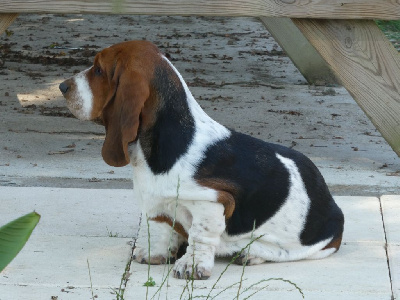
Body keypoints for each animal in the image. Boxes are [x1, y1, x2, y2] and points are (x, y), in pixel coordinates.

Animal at [58, 39, 344, 278]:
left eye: (98, 70)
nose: (62, 86)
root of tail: (333, 205)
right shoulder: (157, 204)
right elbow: (160, 227)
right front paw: (155, 253)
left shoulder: (212, 201)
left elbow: (201, 235)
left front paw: (192, 265)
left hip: (314, 243)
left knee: (281, 252)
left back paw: (249, 254)